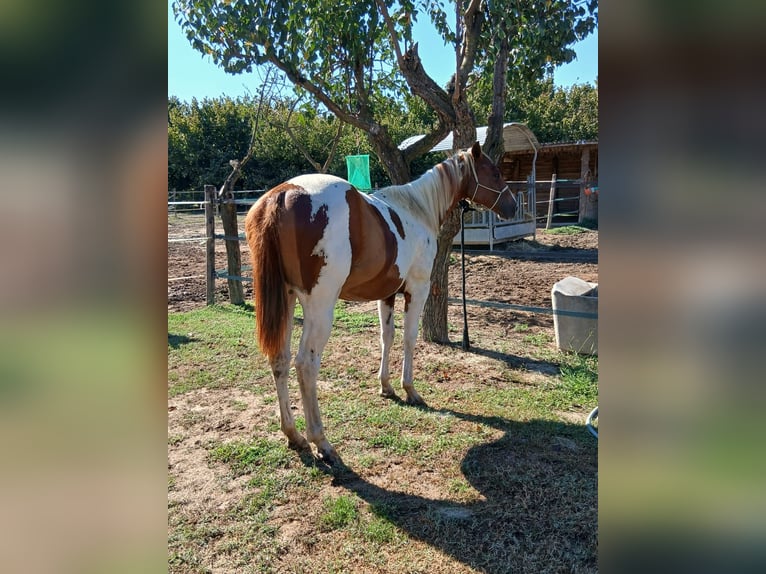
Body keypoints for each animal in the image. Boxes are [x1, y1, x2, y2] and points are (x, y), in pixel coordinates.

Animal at [244, 141, 516, 463]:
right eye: (495, 172)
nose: (513, 206)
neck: (417, 210)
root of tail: (282, 194)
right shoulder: (417, 289)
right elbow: (409, 338)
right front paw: (409, 389)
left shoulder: (386, 294)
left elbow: (387, 336)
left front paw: (385, 386)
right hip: (319, 307)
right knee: (305, 365)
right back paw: (321, 441)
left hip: (285, 301)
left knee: (280, 360)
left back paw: (294, 435)